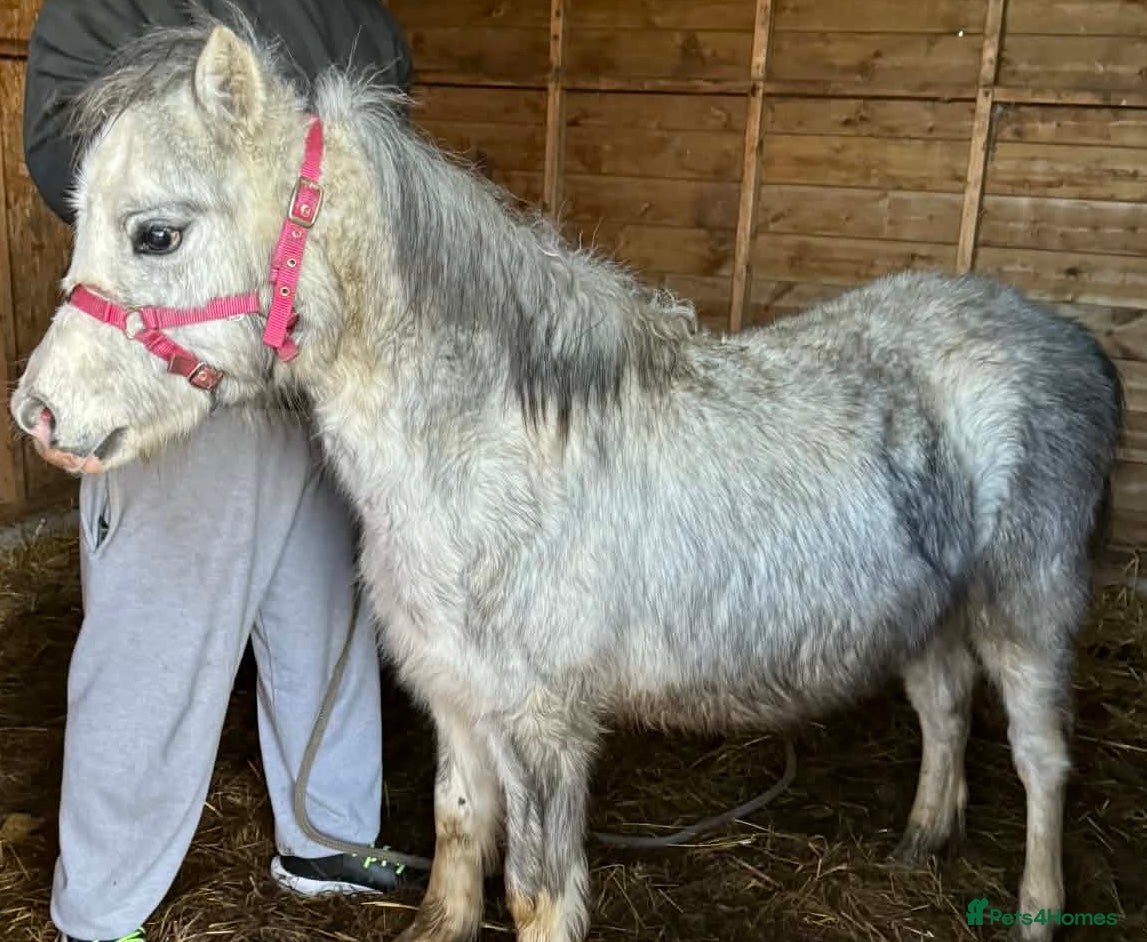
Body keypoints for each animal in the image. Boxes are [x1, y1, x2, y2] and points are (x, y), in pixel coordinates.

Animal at [11, 22, 1122, 942]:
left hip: (1026, 610)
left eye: (156, 233)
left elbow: (538, 891)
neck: (489, 452)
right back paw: (920, 841)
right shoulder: (457, 697)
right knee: (942, 706)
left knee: (1040, 759)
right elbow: (459, 826)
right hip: (926, 610)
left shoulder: (544, 724)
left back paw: (1033, 910)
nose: (40, 415)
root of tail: (1068, 339)